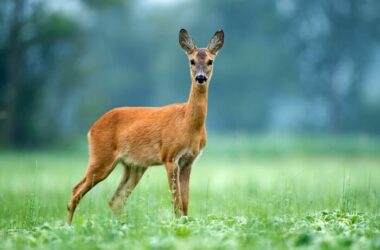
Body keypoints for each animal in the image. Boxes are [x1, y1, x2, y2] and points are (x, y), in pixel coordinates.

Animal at [67, 28, 224, 224]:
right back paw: (68, 226)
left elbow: (185, 204)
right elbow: (176, 203)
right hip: (101, 157)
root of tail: (92, 128)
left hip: (134, 166)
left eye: (210, 61)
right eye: (192, 61)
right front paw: (176, 225)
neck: (188, 124)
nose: (200, 77)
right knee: (76, 191)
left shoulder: (188, 161)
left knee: (115, 201)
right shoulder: (169, 157)